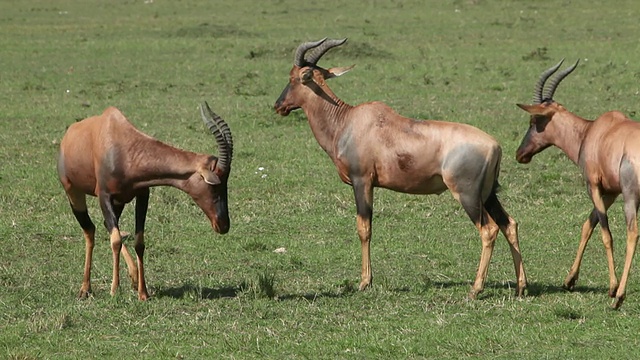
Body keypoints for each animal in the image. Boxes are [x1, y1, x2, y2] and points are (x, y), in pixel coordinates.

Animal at [57, 102, 232, 300]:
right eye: (215, 185)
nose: (223, 225)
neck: (122, 144)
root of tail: (68, 135)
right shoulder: (104, 196)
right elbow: (115, 240)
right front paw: (114, 290)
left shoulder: (142, 195)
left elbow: (139, 242)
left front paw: (143, 292)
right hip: (73, 192)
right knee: (90, 230)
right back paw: (85, 288)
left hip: (119, 202)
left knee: (105, 225)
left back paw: (132, 278)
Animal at [272, 38, 528, 300]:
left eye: (294, 77)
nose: (278, 106)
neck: (347, 121)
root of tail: (495, 146)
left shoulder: (362, 181)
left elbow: (364, 228)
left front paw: (364, 282)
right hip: (488, 194)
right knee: (510, 225)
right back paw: (521, 287)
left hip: (468, 195)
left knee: (489, 230)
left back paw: (475, 290)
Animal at [516, 59, 640, 310]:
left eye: (534, 120)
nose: (520, 154)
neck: (593, 132)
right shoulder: (610, 192)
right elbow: (587, 226)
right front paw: (569, 281)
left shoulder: (594, 186)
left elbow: (605, 233)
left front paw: (612, 288)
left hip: (631, 196)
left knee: (633, 233)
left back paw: (619, 297)